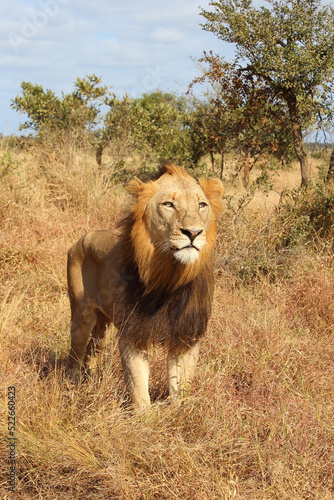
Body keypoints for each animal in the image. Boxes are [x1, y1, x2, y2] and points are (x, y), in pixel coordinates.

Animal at [67, 164, 224, 410]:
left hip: (102, 323)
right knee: (75, 354)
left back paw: (92, 380)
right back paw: (73, 388)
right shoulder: (133, 334)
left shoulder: (186, 334)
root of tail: (84, 237)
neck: (170, 276)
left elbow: (180, 386)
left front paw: (177, 411)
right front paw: (145, 416)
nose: (193, 233)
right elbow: (139, 388)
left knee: (93, 350)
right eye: (168, 204)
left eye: (202, 205)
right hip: (81, 315)